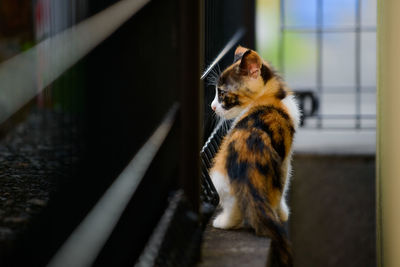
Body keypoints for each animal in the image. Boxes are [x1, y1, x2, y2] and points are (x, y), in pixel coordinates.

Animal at [209, 46, 300, 267]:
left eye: (222, 93)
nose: (212, 106)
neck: (271, 96)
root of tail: (247, 159)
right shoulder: (286, 160)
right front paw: (283, 213)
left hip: (220, 177)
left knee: (234, 204)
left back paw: (224, 222)